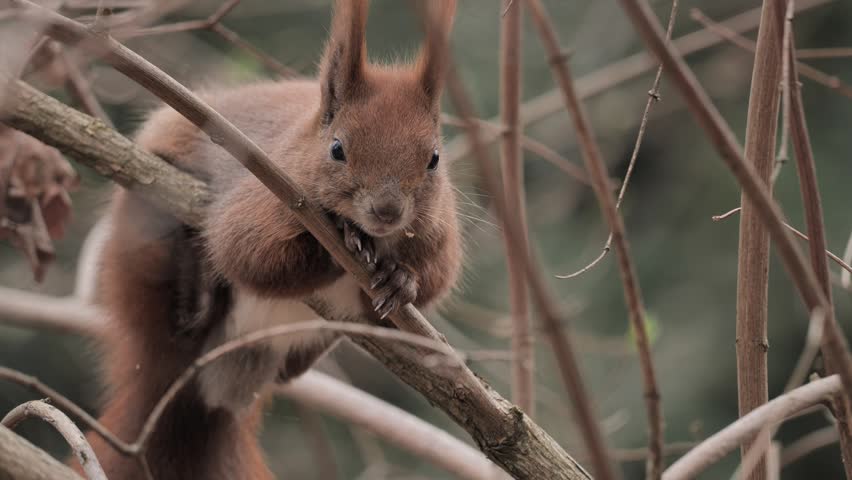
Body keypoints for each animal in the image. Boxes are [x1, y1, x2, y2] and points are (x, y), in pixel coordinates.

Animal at [82, 1, 461, 479]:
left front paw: (401, 278)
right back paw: (194, 293)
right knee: (172, 313)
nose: (387, 211)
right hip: (145, 231)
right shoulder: (257, 202)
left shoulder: (437, 239)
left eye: (434, 159)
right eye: (337, 149)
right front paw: (337, 240)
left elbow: (430, 284)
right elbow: (247, 255)